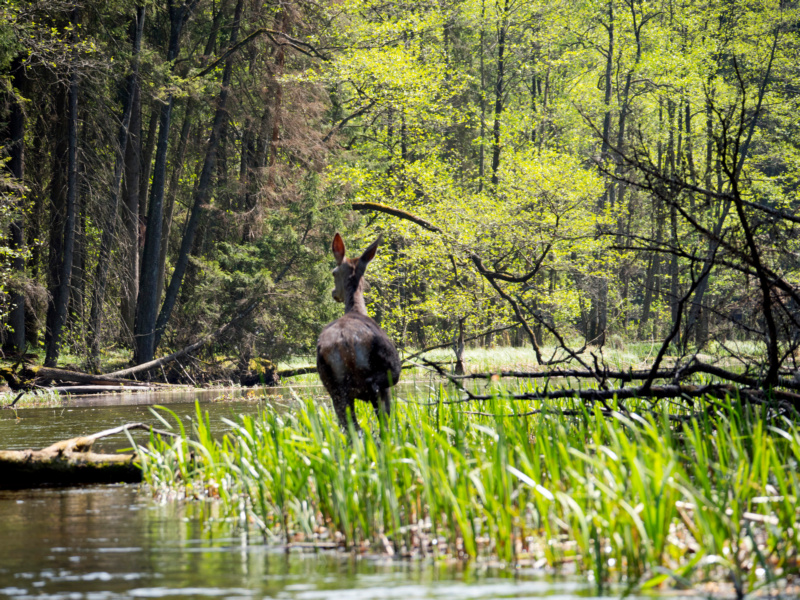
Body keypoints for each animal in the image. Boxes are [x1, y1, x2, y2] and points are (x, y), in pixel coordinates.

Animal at [318, 232, 404, 434]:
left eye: (333, 273)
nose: (334, 293)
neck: (356, 310)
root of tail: (344, 342)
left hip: (332, 388)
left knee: (349, 427)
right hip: (383, 376)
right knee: (380, 421)